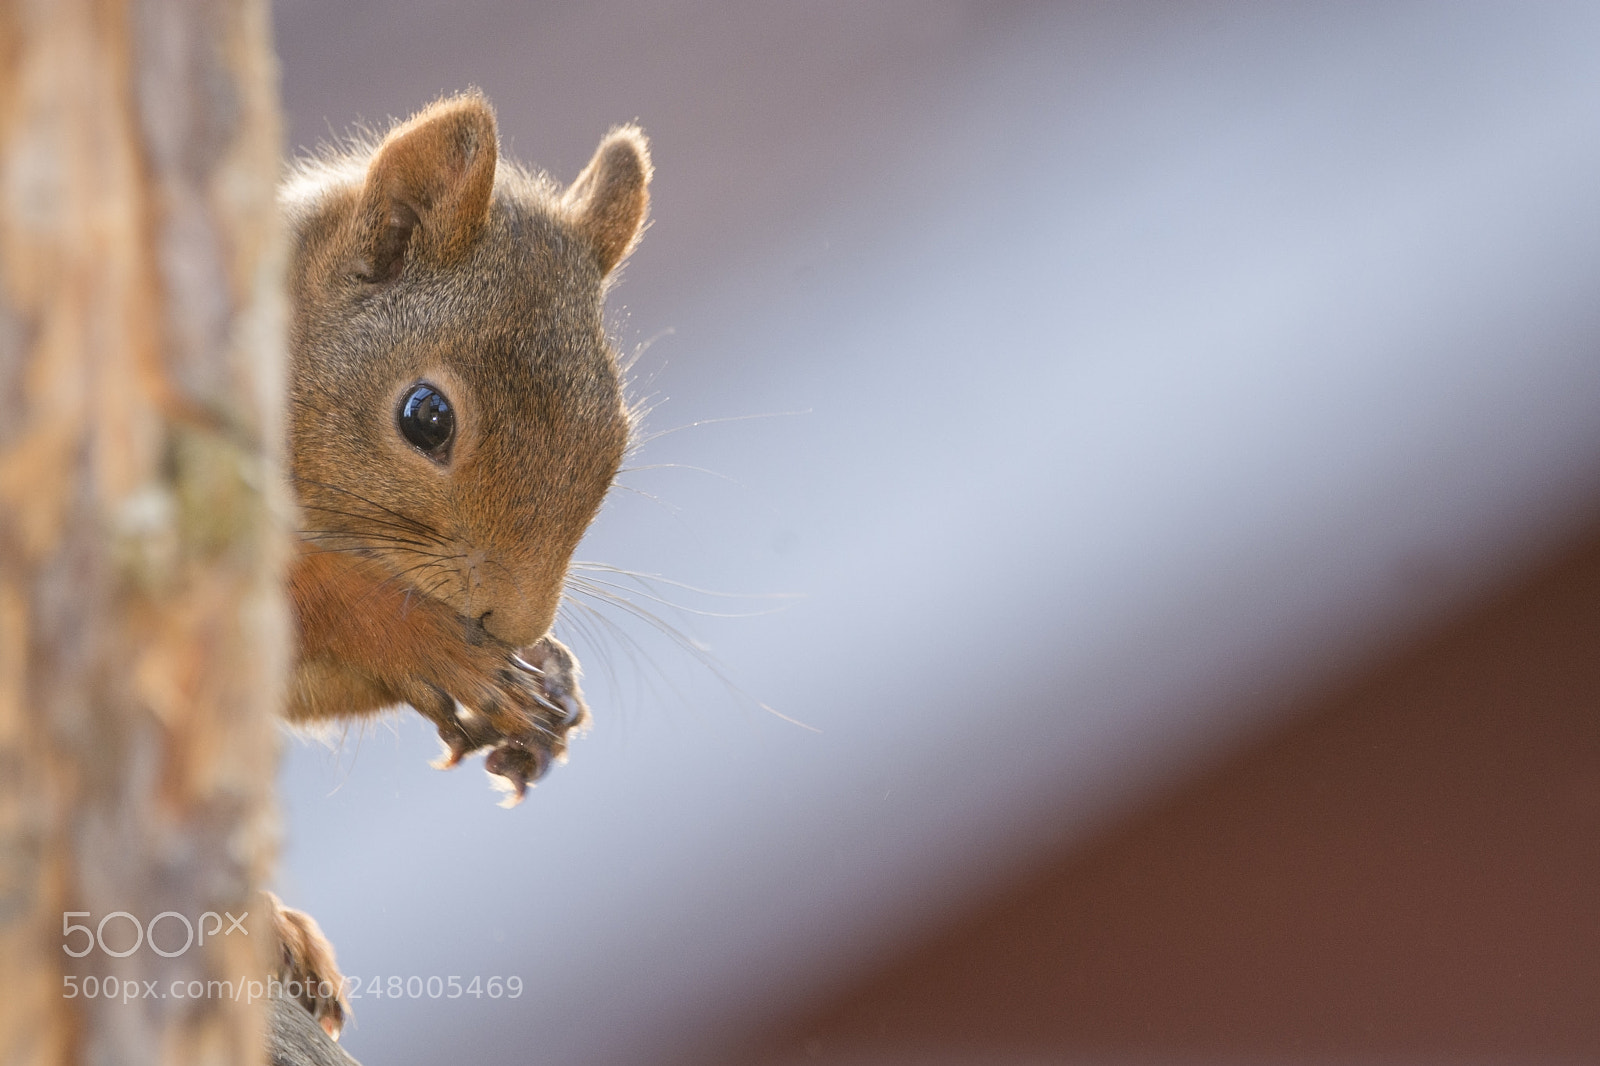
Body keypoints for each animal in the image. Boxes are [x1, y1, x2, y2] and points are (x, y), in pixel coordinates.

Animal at [266, 92, 652, 1040]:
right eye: (426, 416)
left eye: (617, 441)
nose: (513, 621)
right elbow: (322, 593)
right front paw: (433, 645)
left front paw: (550, 685)